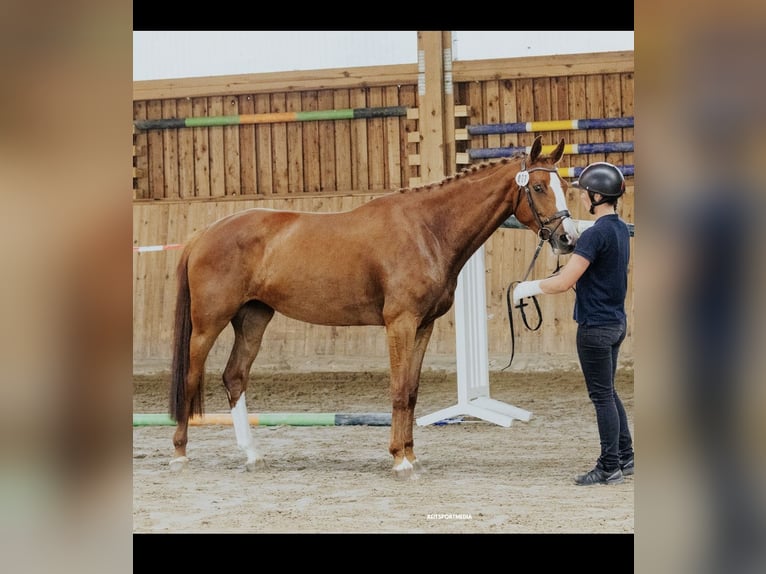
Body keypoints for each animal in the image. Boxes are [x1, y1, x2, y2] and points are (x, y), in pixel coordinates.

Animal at [168, 135, 579, 479]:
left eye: (565, 188)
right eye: (538, 187)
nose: (567, 239)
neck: (427, 230)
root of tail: (203, 234)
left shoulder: (423, 326)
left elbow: (411, 391)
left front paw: (410, 455)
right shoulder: (400, 323)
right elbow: (398, 389)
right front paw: (399, 460)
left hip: (253, 318)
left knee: (234, 377)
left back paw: (252, 454)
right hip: (208, 324)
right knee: (191, 377)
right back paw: (180, 454)